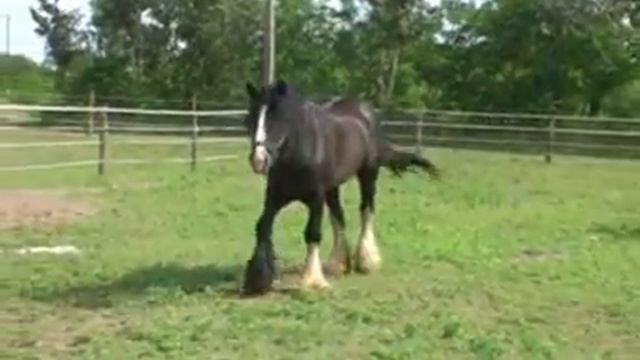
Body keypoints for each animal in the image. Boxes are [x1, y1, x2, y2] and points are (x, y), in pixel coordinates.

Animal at [242, 80, 438, 294]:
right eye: (251, 118)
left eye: (278, 118)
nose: (258, 161)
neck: (300, 152)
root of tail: (365, 110)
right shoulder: (275, 196)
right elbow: (262, 226)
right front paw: (258, 278)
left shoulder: (316, 197)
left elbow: (313, 233)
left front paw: (312, 280)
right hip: (332, 188)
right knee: (338, 216)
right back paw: (338, 263)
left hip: (368, 174)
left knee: (366, 210)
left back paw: (366, 261)